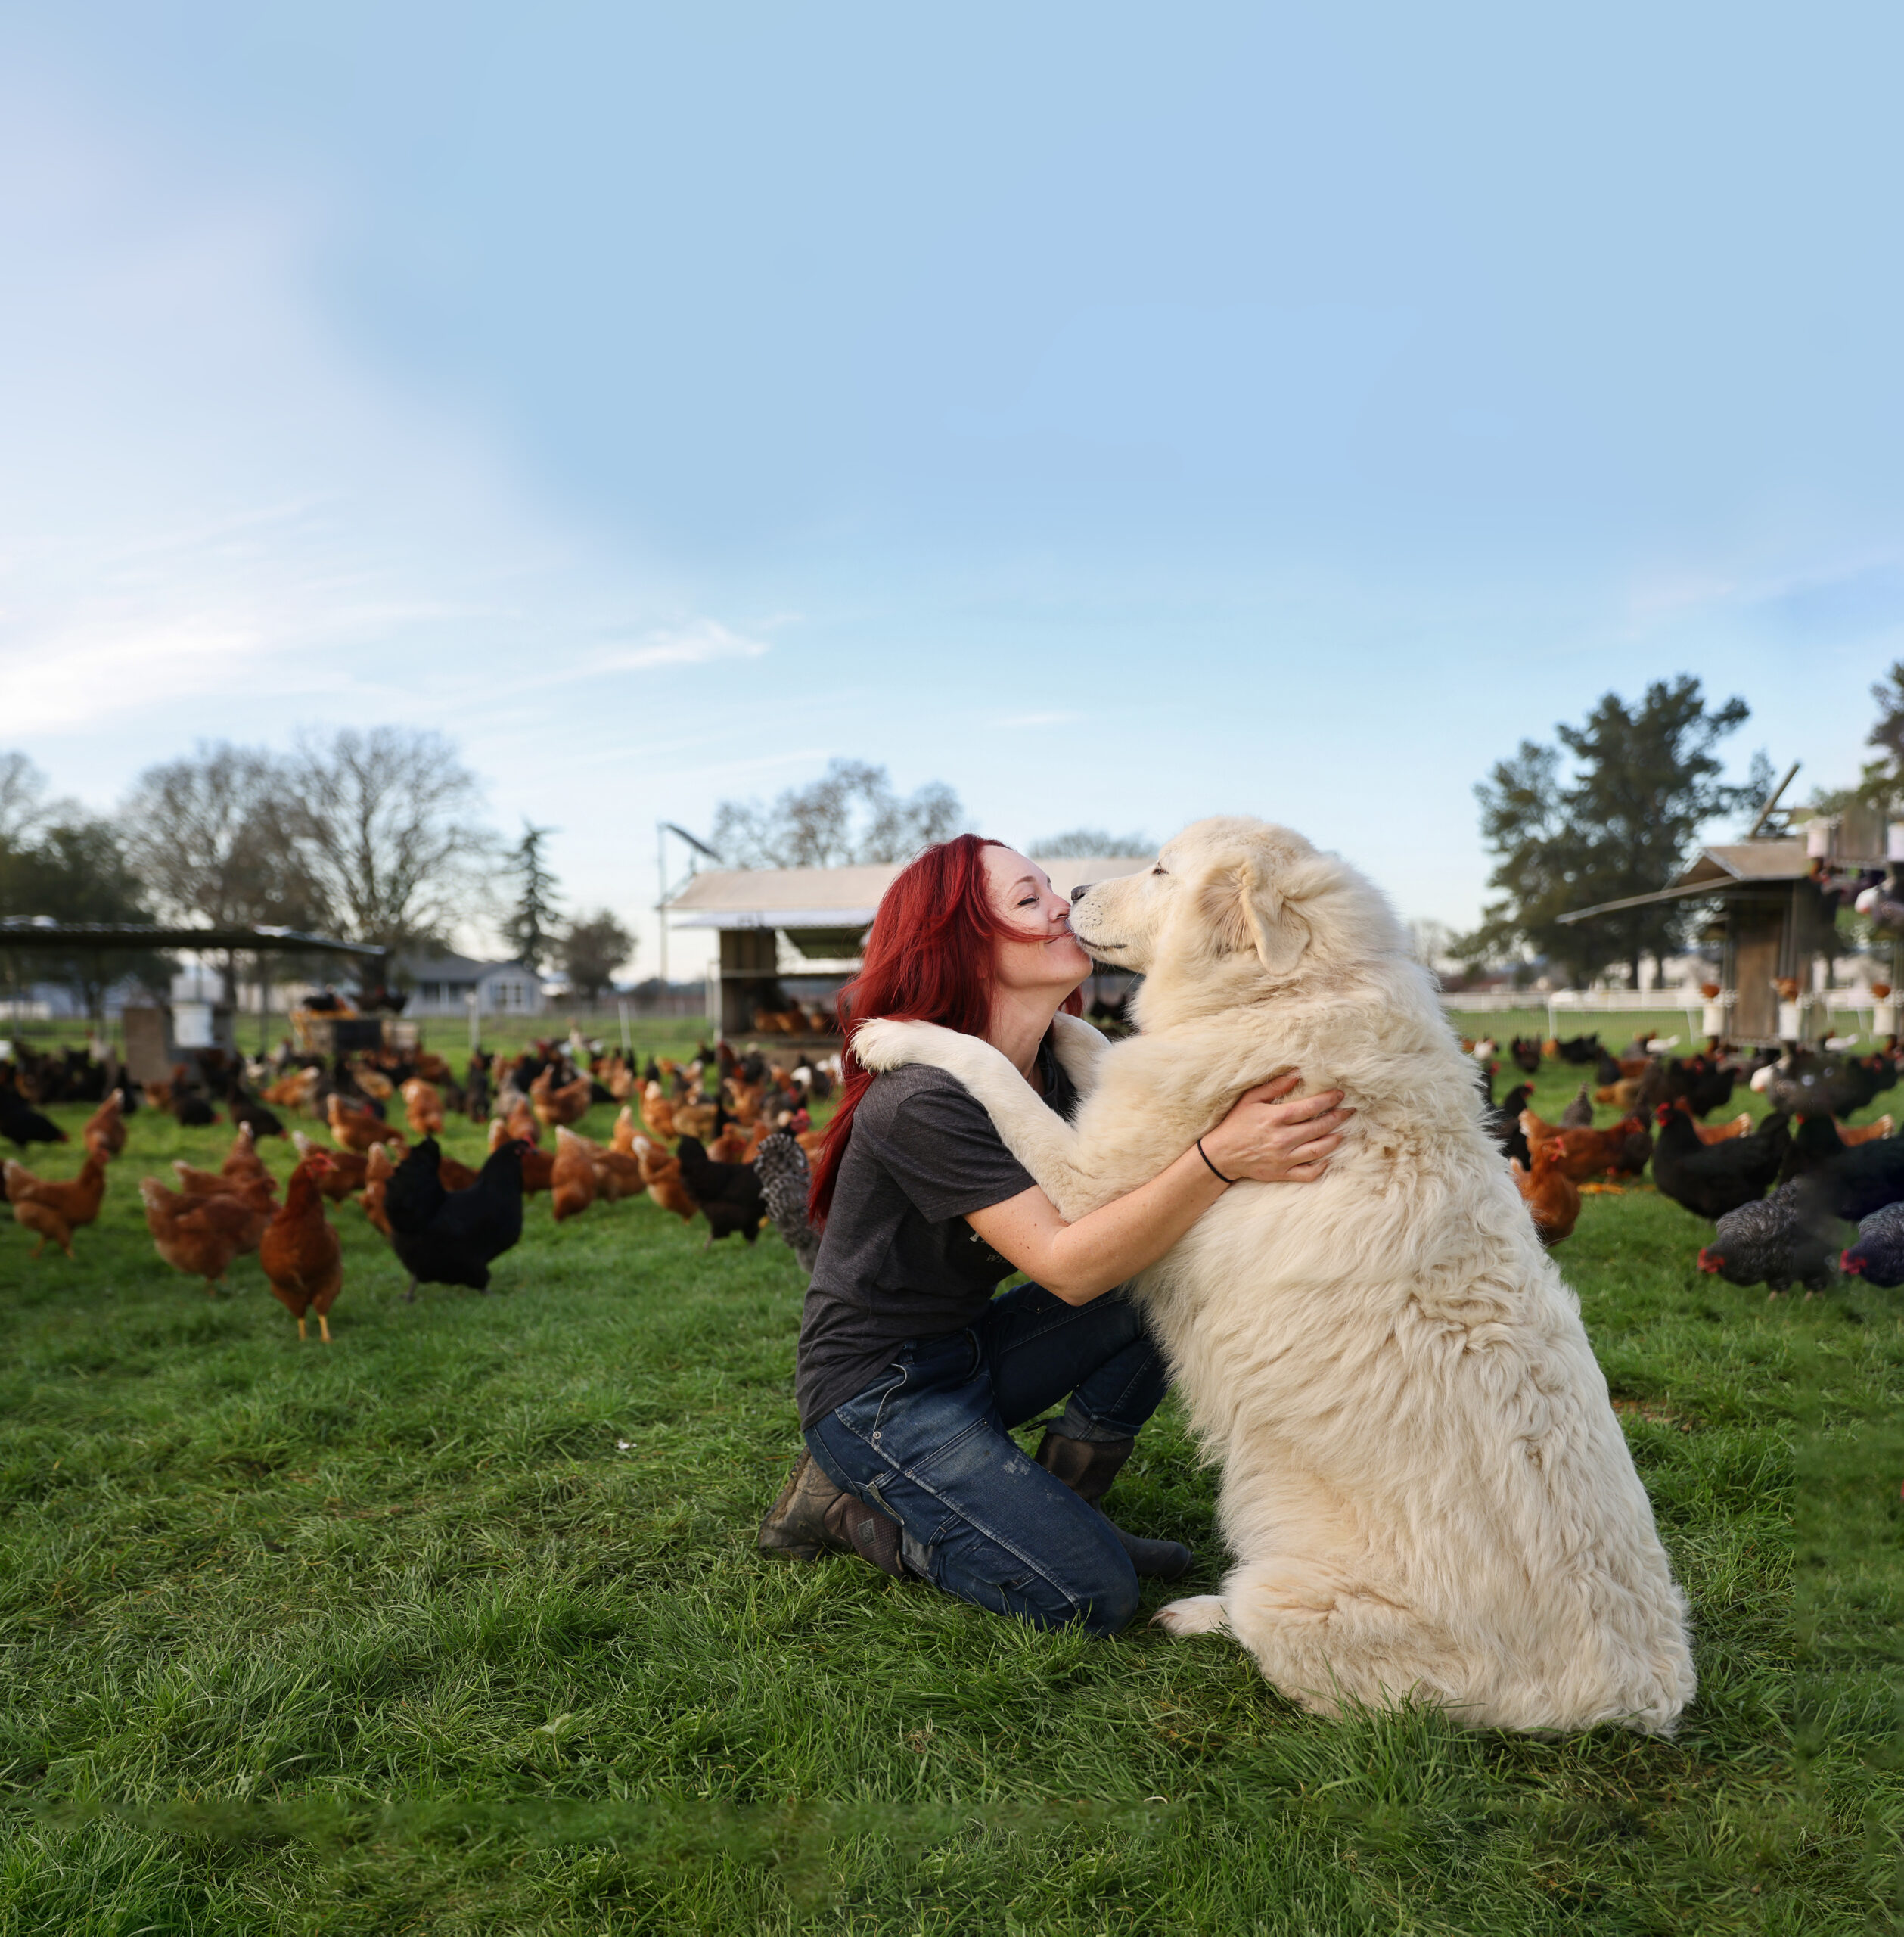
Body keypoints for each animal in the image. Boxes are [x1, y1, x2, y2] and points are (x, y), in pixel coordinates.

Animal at [859, 810, 1697, 1735]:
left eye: (1160, 870)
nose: (1069, 891)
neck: (1290, 989)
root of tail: (1639, 1688)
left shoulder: (1086, 1189)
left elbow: (992, 1069)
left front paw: (901, 1034)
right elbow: (1086, 1038)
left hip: (1287, 1596)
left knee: (1259, 1630)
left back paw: (1197, 1612)